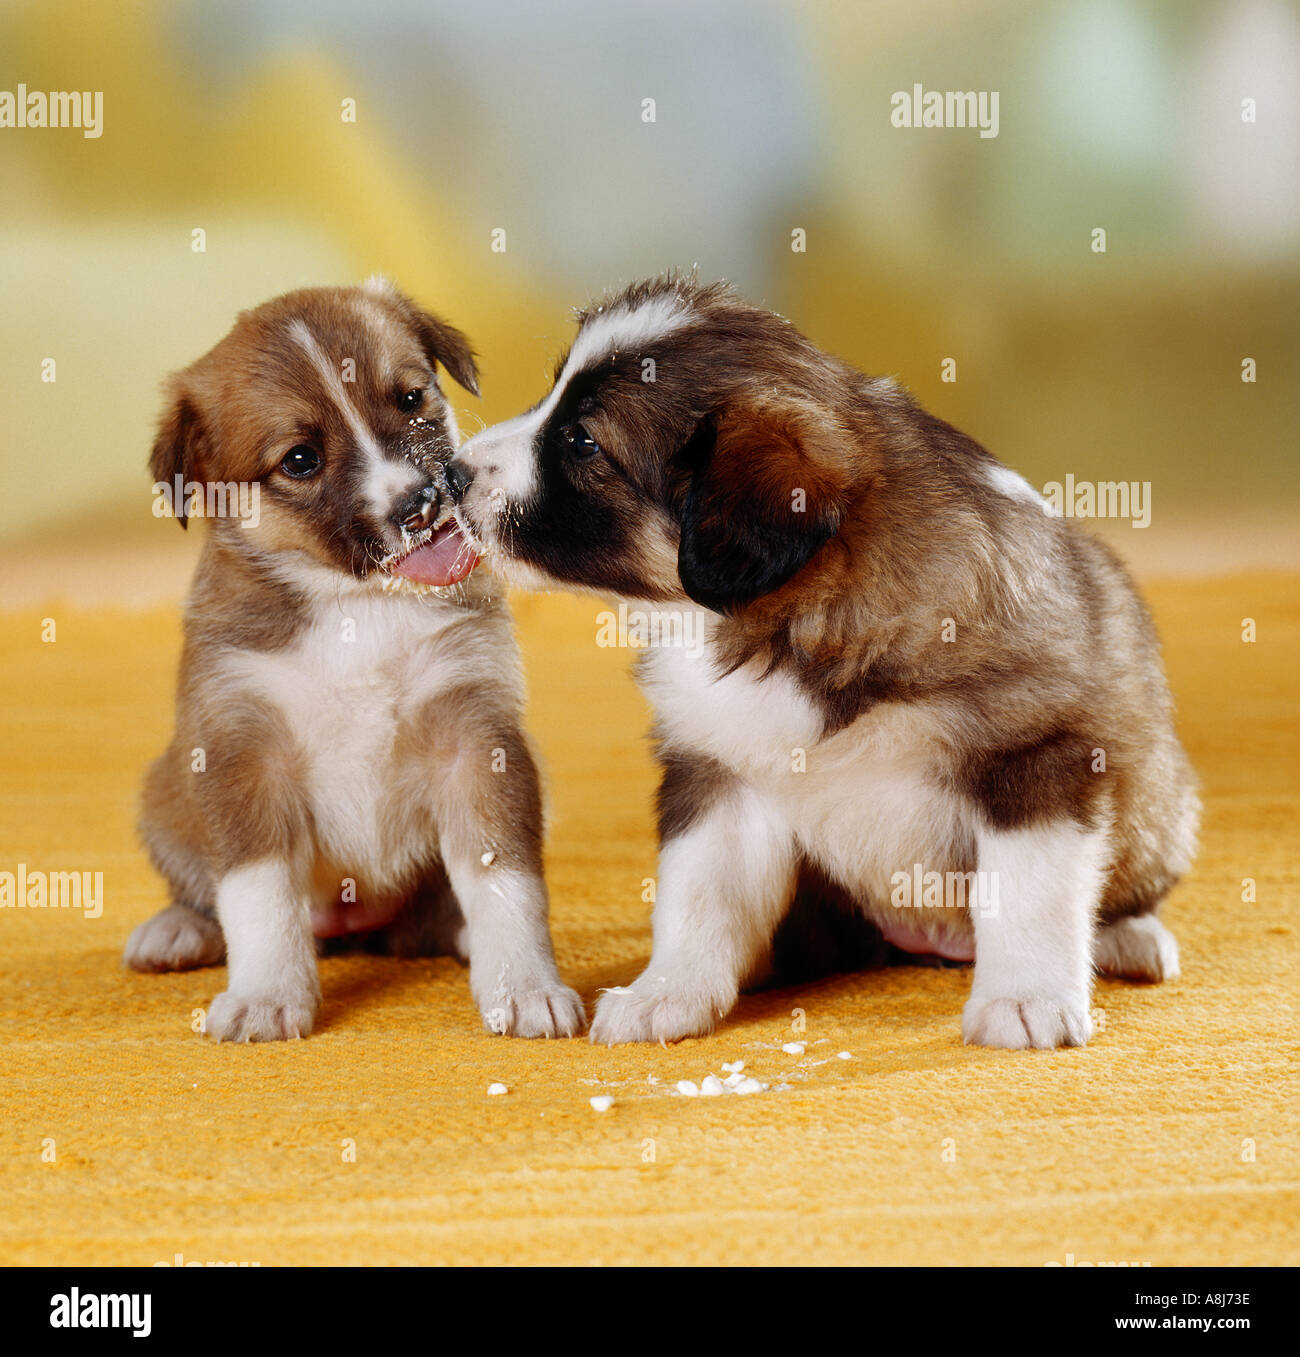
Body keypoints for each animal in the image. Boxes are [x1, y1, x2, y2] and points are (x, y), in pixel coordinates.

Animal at [127, 280, 586, 1042]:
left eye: (410, 397)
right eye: (300, 460)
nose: (422, 501)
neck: (360, 608)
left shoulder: (477, 736)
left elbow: (504, 878)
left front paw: (524, 985)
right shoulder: (241, 750)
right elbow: (258, 895)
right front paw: (265, 996)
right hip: (164, 792)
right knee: (206, 894)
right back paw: (177, 930)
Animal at [447, 272, 1199, 1047]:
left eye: (582, 440)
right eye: (554, 397)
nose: (450, 473)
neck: (789, 625)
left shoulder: (1035, 755)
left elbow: (1028, 892)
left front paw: (1026, 1001)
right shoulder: (726, 768)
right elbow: (696, 895)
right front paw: (667, 993)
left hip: (1159, 806)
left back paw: (1130, 937)